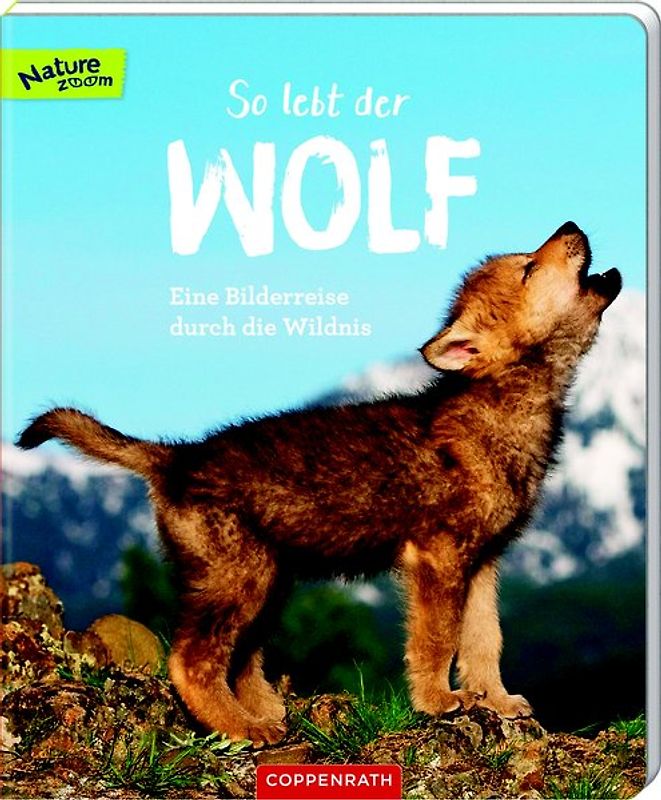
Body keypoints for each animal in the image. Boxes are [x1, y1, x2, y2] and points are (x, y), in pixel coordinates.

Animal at [17, 222, 621, 747]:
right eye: (528, 267)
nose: (571, 224)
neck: (507, 403)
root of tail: (177, 456)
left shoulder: (483, 562)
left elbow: (484, 640)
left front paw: (495, 701)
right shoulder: (438, 556)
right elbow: (436, 640)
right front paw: (437, 702)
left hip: (268, 583)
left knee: (238, 658)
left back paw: (265, 711)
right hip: (243, 581)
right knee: (190, 661)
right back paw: (244, 729)